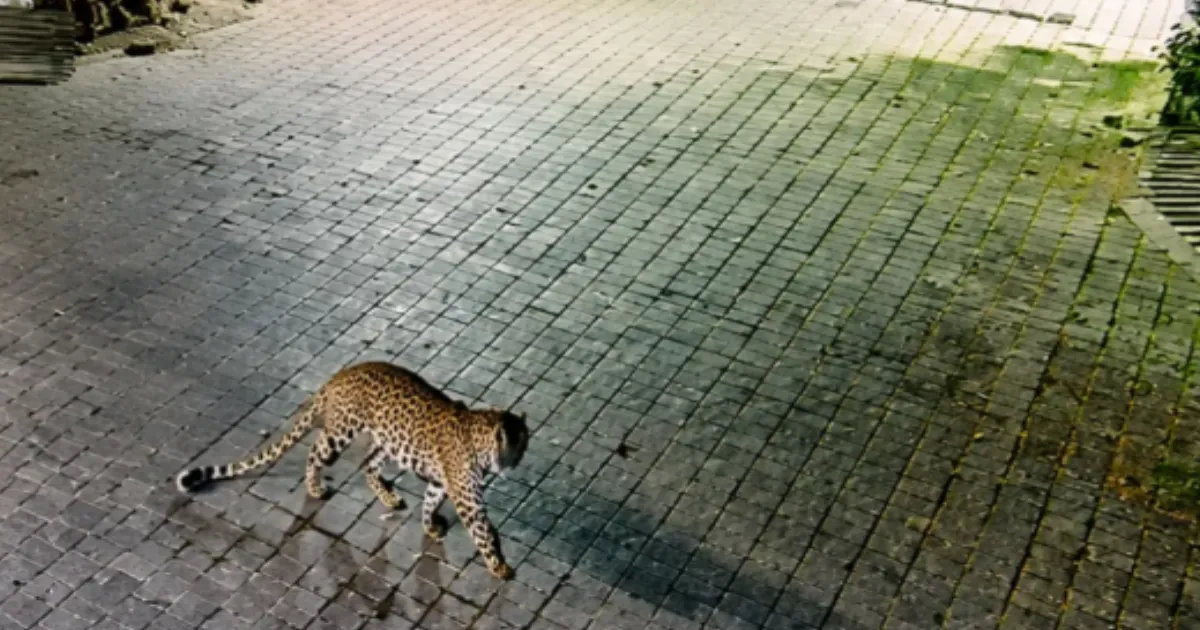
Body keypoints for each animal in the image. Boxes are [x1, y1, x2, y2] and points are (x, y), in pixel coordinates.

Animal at [174, 361, 530, 579]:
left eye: (524, 445)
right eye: (511, 446)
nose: (515, 462)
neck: (481, 444)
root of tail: (342, 375)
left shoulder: (443, 484)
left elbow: (430, 502)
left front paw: (430, 525)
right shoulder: (468, 499)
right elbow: (484, 531)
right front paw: (500, 566)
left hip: (388, 441)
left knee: (367, 465)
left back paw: (389, 498)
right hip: (340, 433)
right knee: (316, 452)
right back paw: (315, 487)